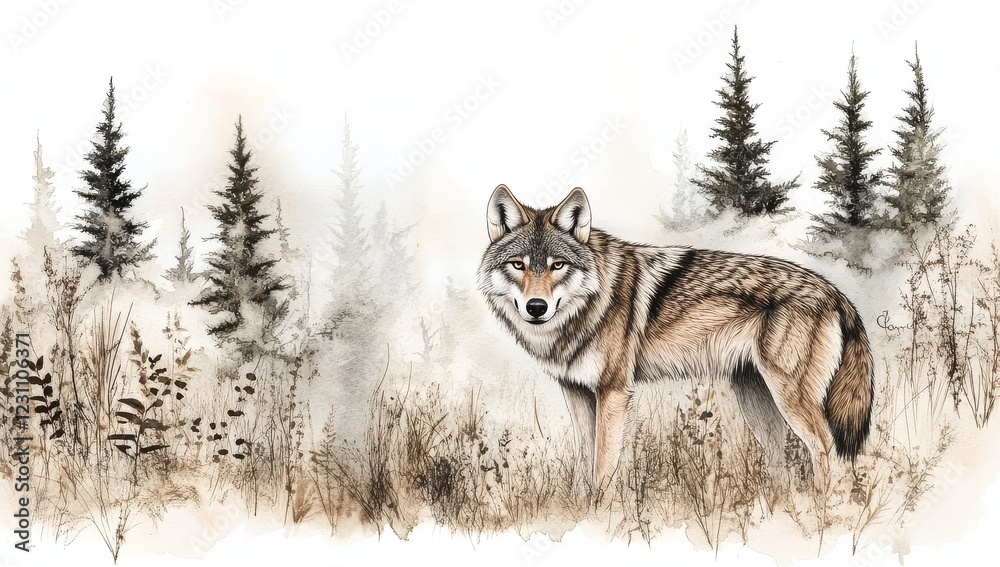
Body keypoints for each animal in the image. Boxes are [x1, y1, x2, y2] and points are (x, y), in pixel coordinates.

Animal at [477, 185, 874, 493]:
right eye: (518, 265)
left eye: (557, 265)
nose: (536, 307)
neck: (586, 307)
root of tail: (835, 291)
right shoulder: (576, 392)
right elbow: (583, 466)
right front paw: (580, 512)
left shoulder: (613, 393)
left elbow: (603, 469)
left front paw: (599, 516)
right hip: (758, 401)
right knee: (781, 460)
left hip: (789, 398)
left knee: (825, 450)